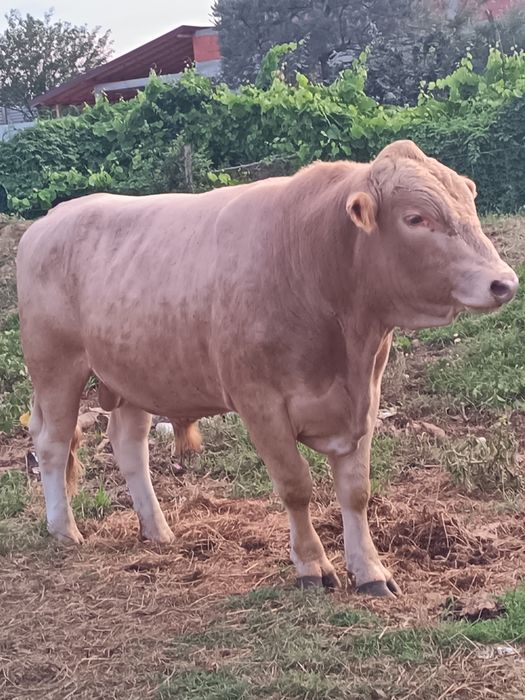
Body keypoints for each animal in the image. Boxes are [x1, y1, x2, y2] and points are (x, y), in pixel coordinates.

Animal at [16, 140, 518, 597]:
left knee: (128, 446)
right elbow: (296, 485)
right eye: (415, 219)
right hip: (56, 367)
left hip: (133, 372)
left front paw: (371, 571)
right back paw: (65, 530)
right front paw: (312, 566)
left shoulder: (366, 399)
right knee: (53, 444)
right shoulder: (260, 402)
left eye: (469, 205)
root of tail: (48, 220)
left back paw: (157, 531)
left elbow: (356, 491)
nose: (505, 282)